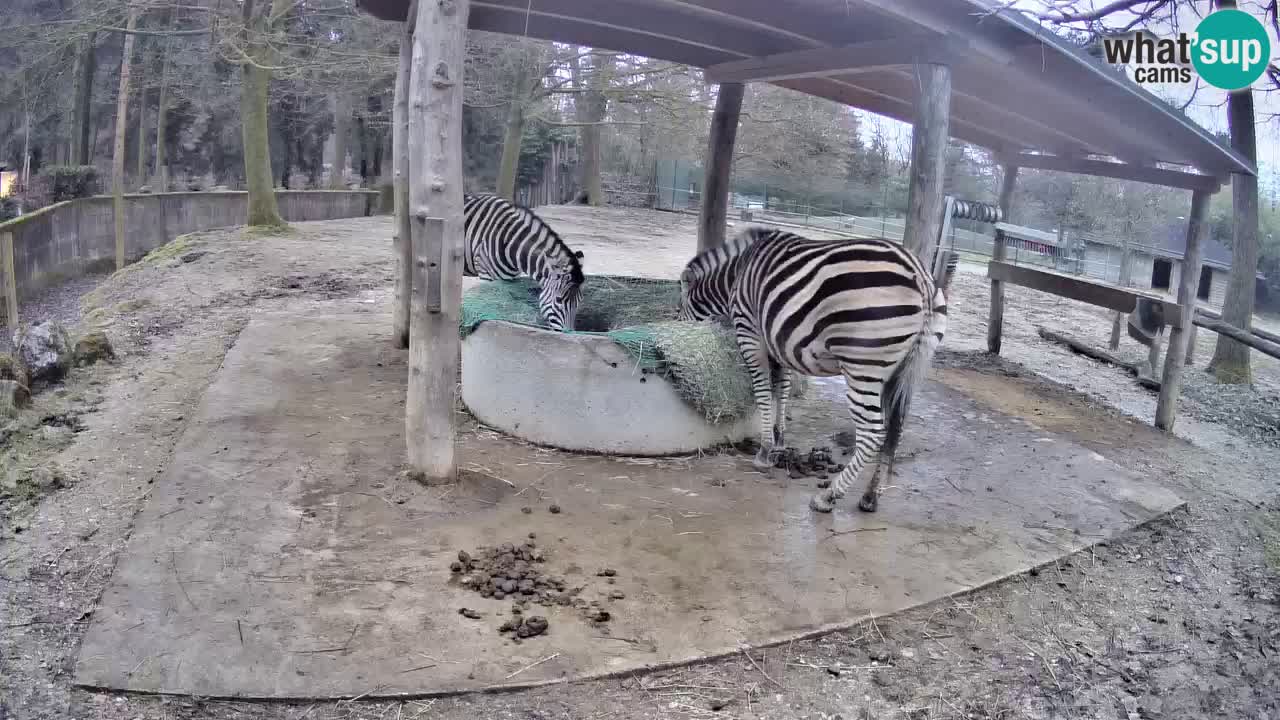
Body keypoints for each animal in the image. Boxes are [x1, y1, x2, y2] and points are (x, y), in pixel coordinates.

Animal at [463, 193, 586, 332]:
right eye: (559, 300)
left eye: (579, 301)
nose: (568, 333)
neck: (510, 240)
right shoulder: (486, 274)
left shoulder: (509, 278)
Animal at [676, 226, 956, 513]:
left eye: (678, 308)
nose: (675, 321)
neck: (737, 273)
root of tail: (921, 277)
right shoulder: (780, 340)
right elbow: (783, 389)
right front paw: (779, 440)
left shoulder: (750, 332)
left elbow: (764, 392)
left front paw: (765, 451)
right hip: (901, 370)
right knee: (893, 430)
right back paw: (869, 497)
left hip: (863, 366)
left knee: (873, 432)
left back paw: (828, 496)